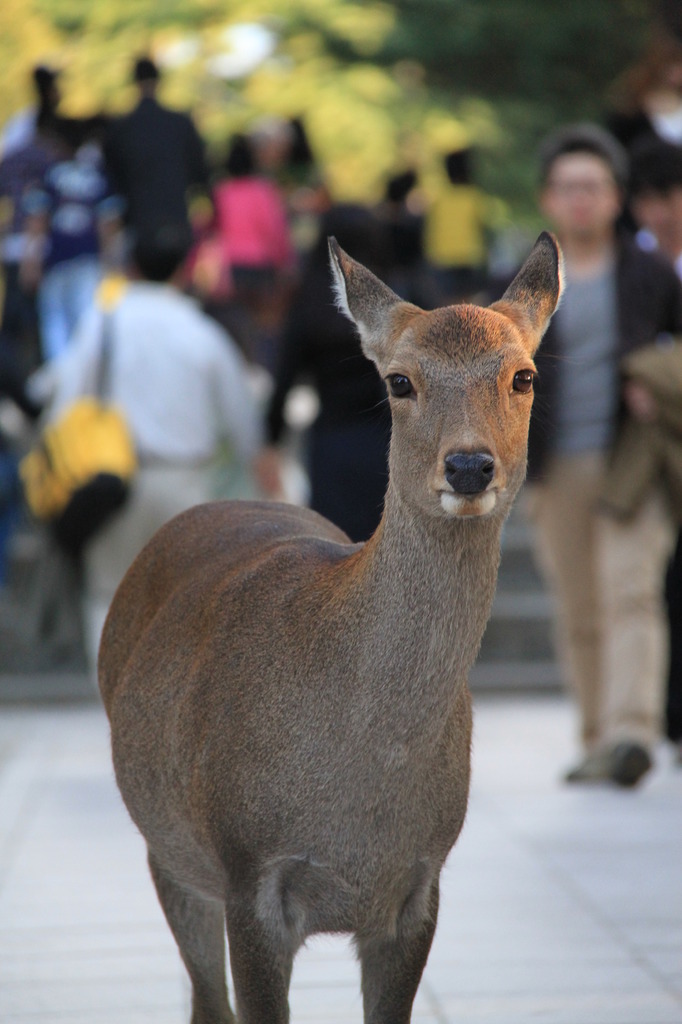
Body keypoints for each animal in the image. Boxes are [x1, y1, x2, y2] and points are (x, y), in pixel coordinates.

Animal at [98, 232, 561, 1024]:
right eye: (400, 381)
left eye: (523, 375)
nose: (469, 466)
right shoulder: (249, 870)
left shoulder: (421, 884)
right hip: (169, 850)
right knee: (205, 997)